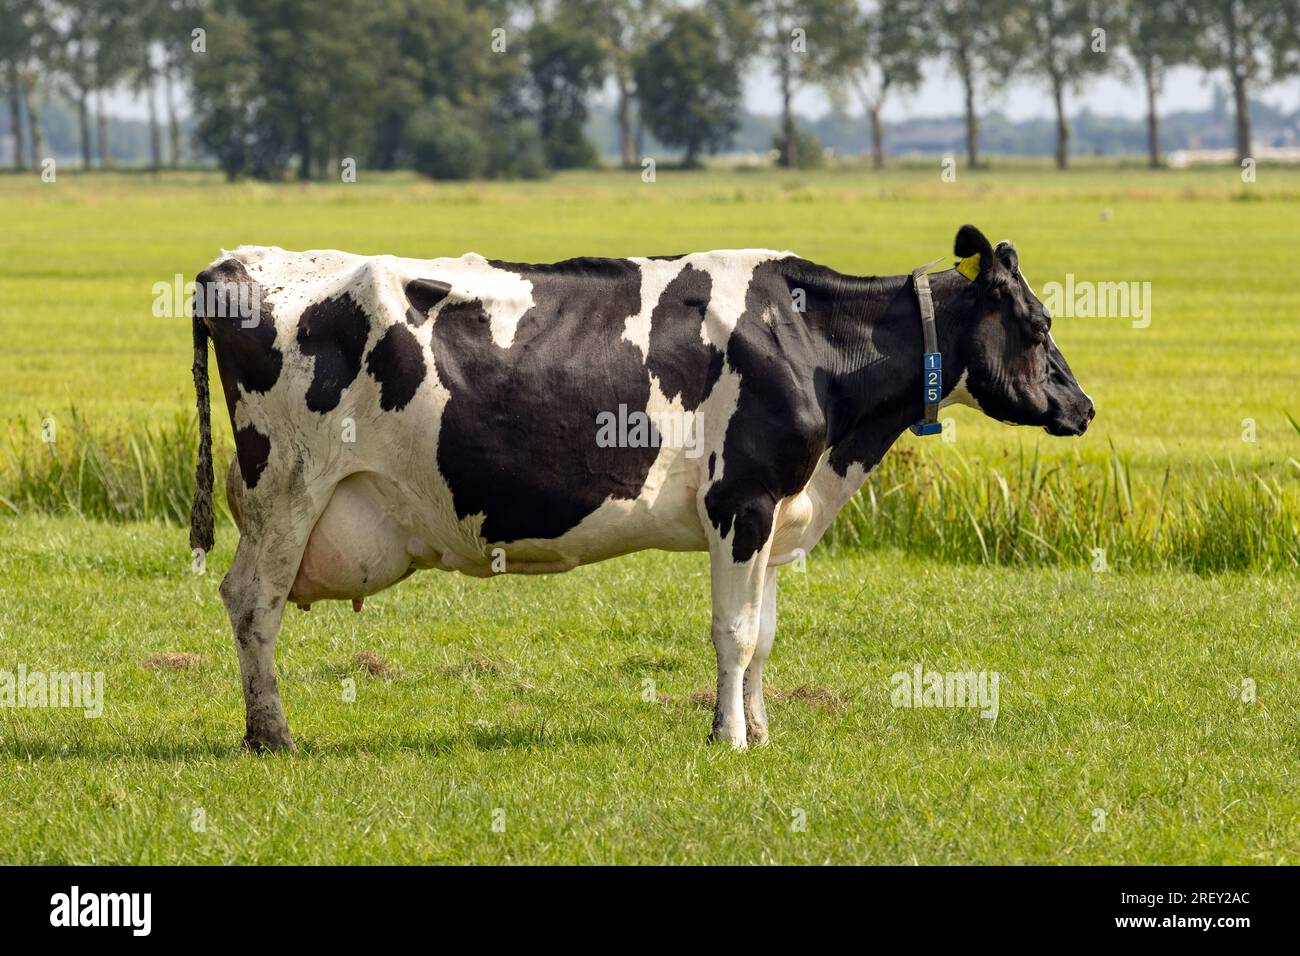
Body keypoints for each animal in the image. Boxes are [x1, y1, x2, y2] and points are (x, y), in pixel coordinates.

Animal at [189, 224, 1093, 753]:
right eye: (1038, 324)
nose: (1082, 407)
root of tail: (236, 262)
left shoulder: (776, 513)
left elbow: (764, 636)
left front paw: (760, 728)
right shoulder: (741, 503)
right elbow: (733, 634)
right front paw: (728, 740)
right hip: (286, 489)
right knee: (252, 601)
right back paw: (270, 735)